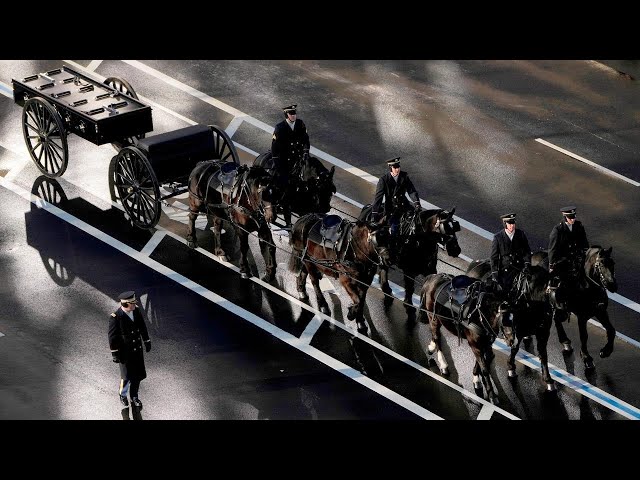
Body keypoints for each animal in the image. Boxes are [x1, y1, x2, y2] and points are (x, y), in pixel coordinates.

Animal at [418, 272, 516, 404]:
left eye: (515, 319)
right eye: (505, 320)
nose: (512, 341)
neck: (480, 315)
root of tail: (433, 277)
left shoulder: (485, 344)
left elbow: (480, 363)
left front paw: (476, 379)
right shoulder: (475, 345)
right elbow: (484, 369)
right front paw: (492, 395)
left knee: (435, 336)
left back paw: (431, 348)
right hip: (433, 317)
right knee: (437, 337)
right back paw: (443, 364)